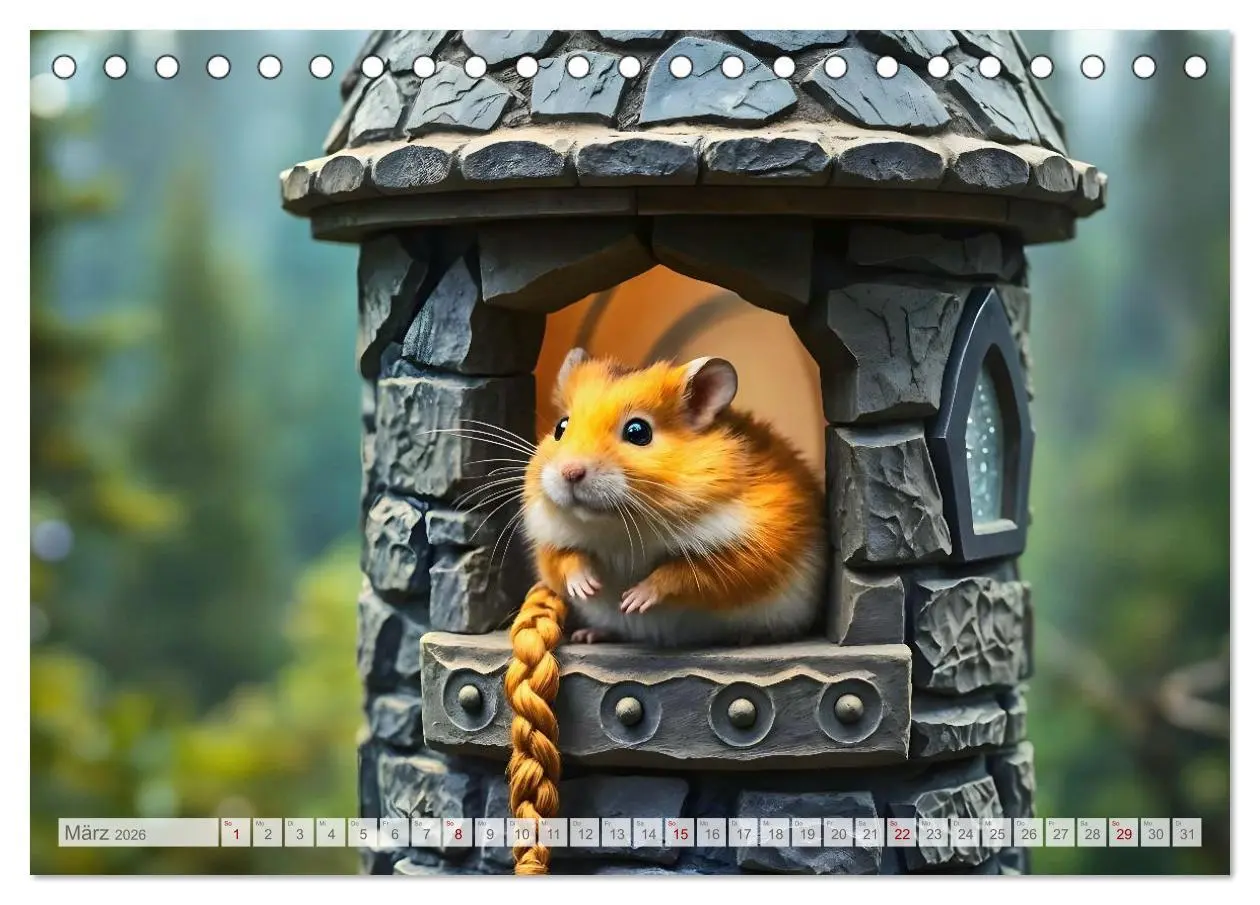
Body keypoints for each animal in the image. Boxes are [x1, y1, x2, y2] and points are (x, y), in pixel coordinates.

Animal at [522, 347, 827, 648]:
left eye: (638, 432)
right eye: (561, 427)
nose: (570, 472)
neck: (619, 525)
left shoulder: (750, 549)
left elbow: (683, 574)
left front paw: (633, 600)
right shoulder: (549, 540)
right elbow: (565, 559)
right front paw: (588, 588)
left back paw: (746, 637)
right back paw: (589, 634)